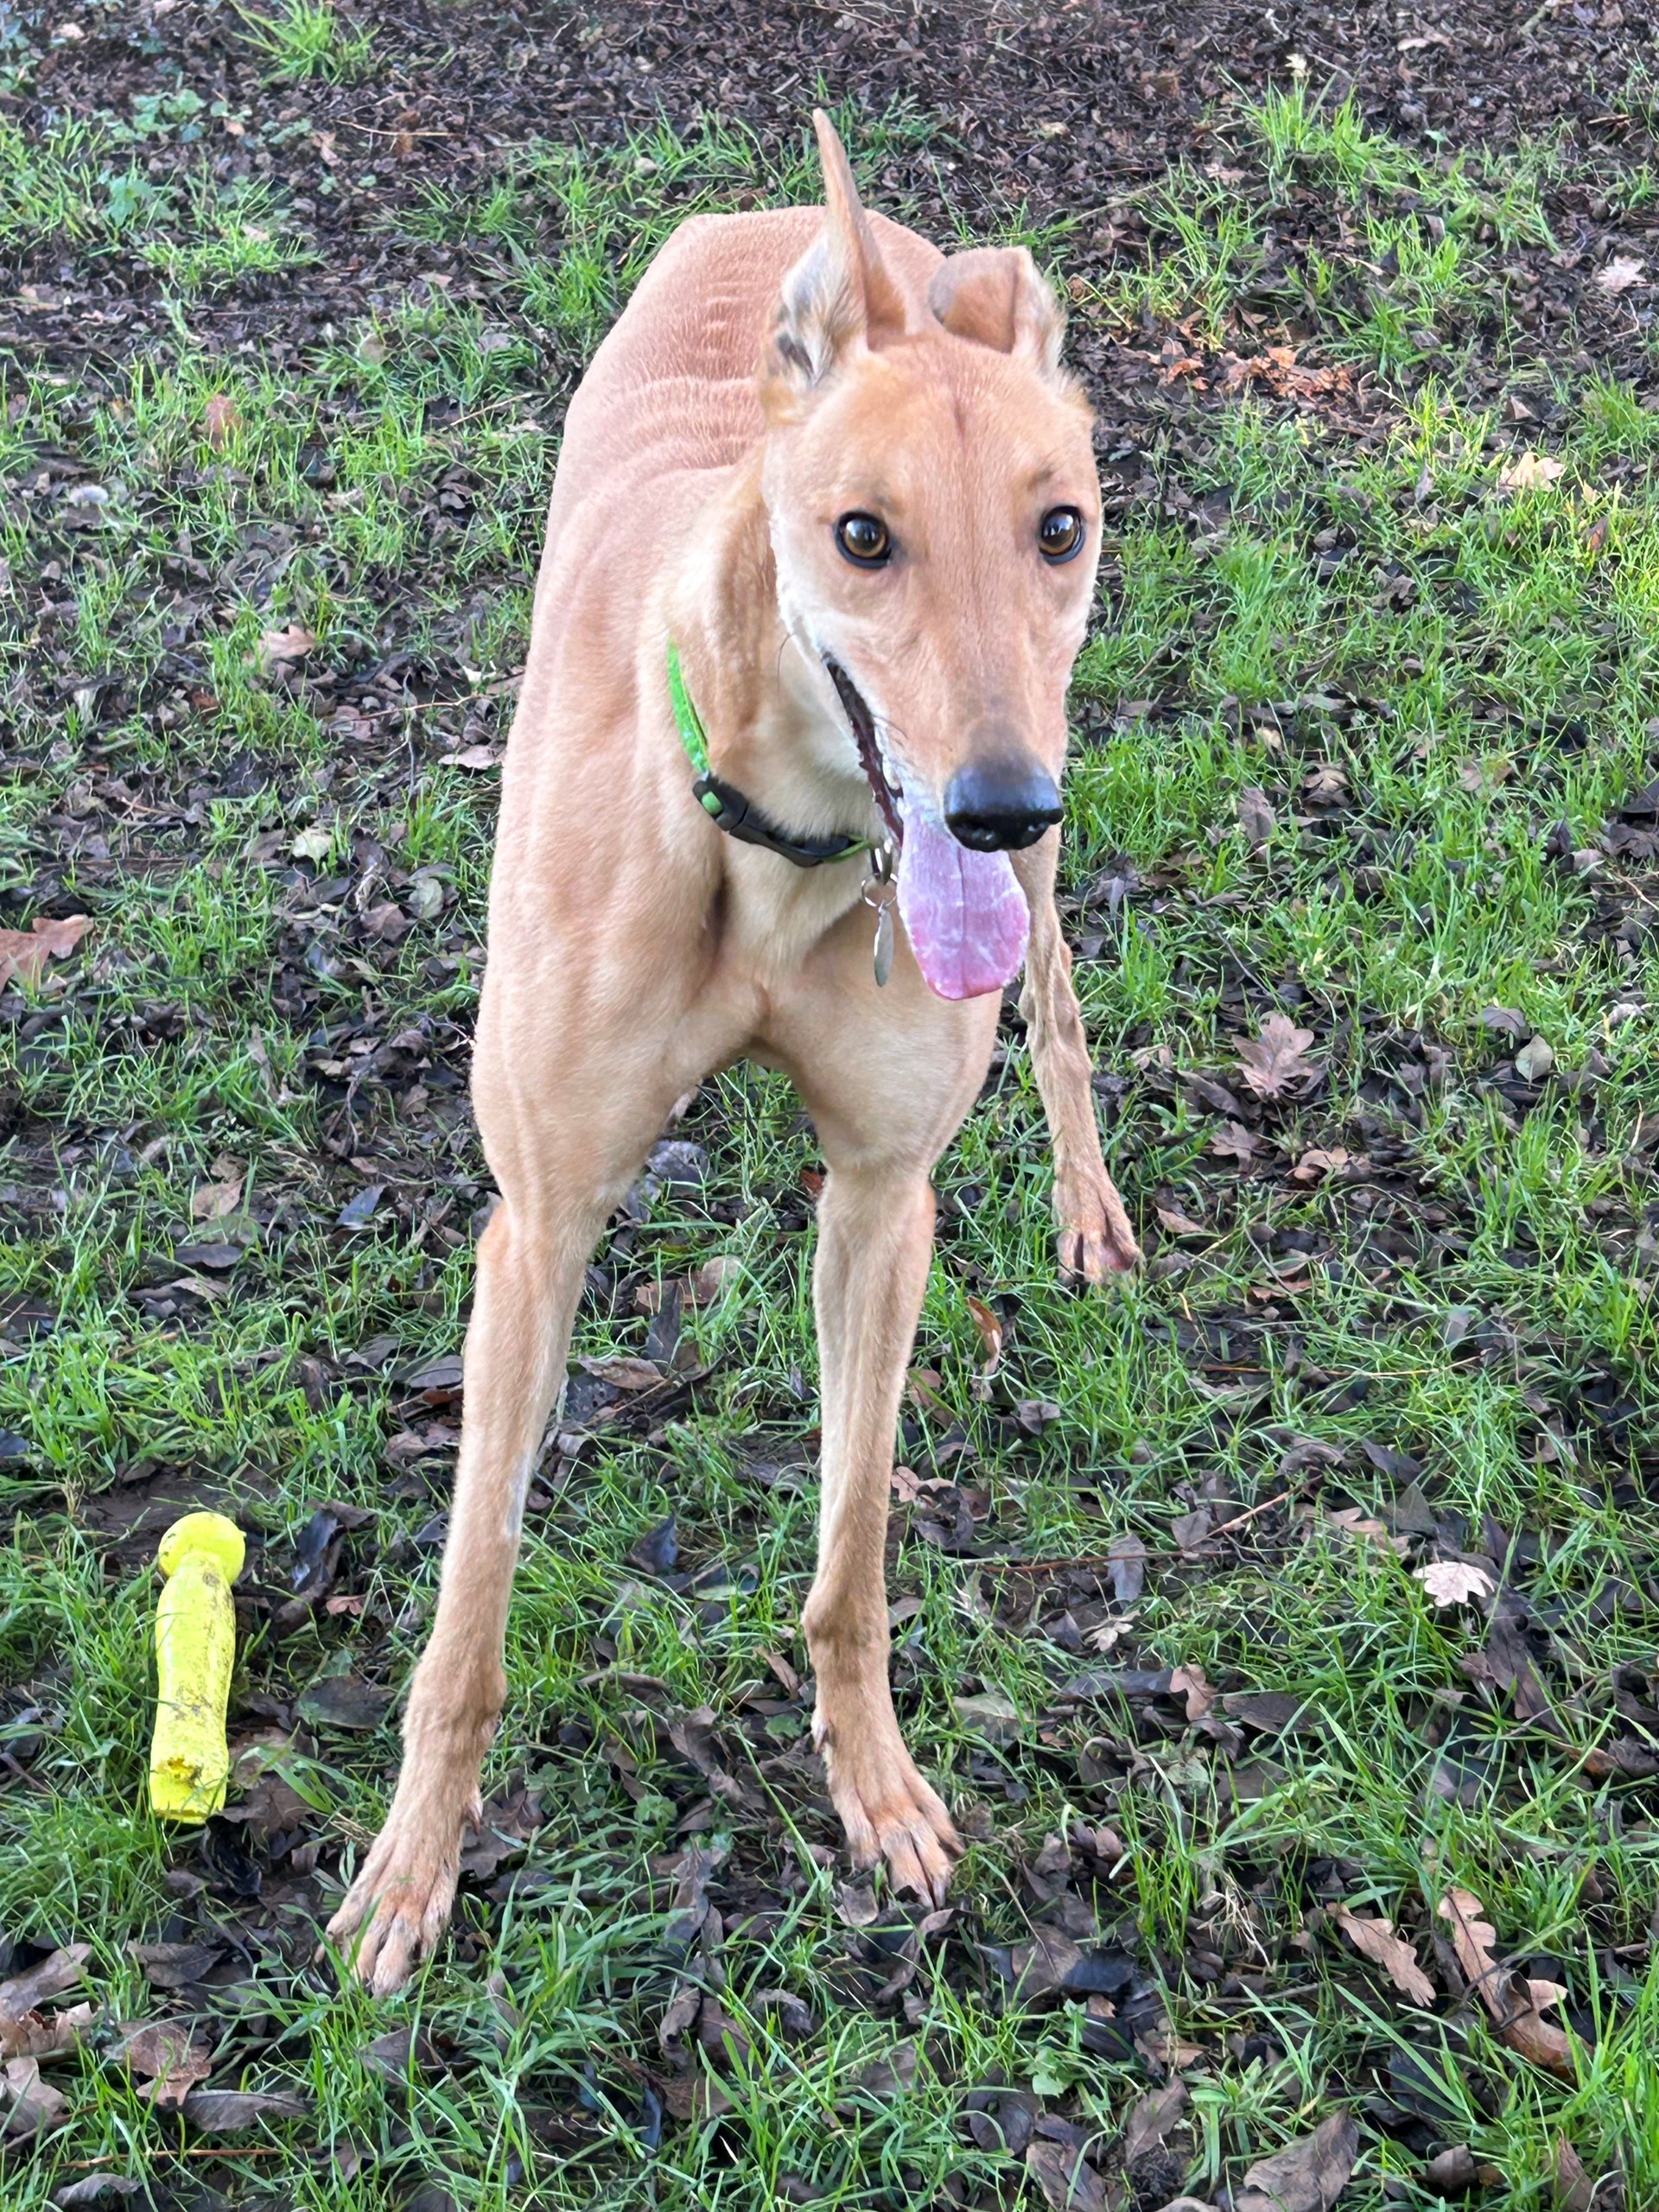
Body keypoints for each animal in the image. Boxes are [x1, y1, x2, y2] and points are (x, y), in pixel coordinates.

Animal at [334, 111, 1150, 1999]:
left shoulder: (882, 1198)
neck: (781, 856)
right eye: (861, 535)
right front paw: (412, 1866)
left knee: (1066, 1002)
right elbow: (471, 1596)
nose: (996, 807)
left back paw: (1088, 1202)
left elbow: (853, 1544)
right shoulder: (539, 1224)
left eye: (1056, 525)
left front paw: (877, 1785)